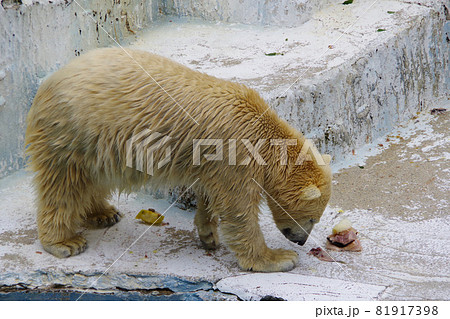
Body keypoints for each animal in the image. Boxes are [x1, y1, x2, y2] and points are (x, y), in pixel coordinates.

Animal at [26, 47, 332, 272]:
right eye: (312, 218)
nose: (301, 241)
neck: (263, 134)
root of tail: (46, 85)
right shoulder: (237, 153)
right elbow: (239, 208)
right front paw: (277, 258)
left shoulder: (213, 159)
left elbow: (210, 192)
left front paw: (208, 234)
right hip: (73, 132)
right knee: (62, 184)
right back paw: (64, 242)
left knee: (93, 178)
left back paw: (104, 213)